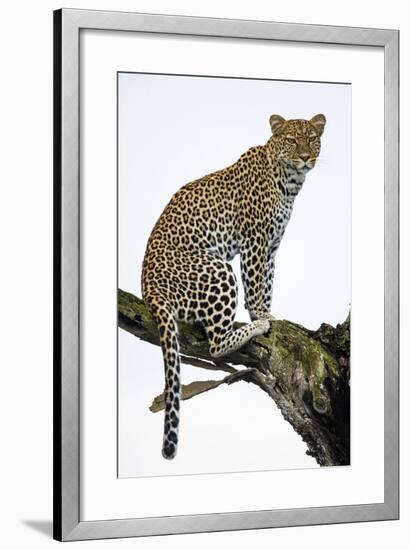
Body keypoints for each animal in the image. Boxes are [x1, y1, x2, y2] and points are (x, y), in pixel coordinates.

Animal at [140, 113, 326, 462]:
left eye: (312, 138)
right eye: (292, 140)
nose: (306, 156)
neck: (288, 181)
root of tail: (149, 290)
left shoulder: (271, 246)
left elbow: (267, 282)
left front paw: (267, 312)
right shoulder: (255, 240)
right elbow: (255, 284)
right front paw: (262, 316)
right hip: (218, 269)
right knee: (214, 345)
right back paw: (251, 329)